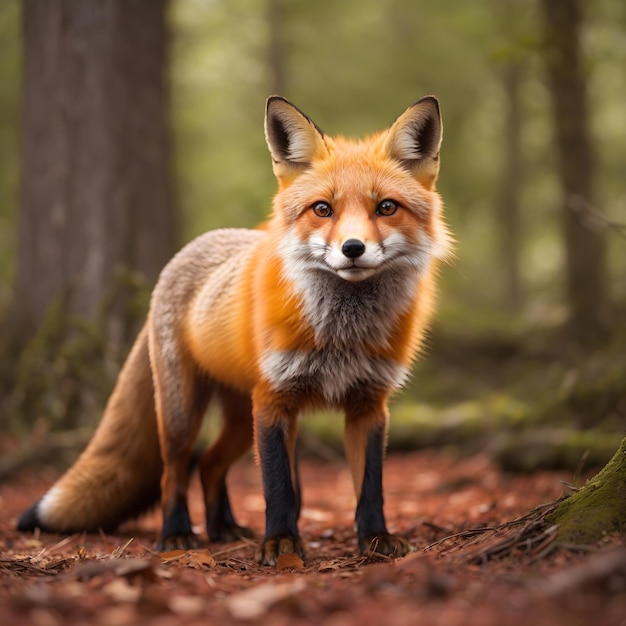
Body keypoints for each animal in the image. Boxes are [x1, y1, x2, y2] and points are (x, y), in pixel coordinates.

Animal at [18, 95, 448, 564]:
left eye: (386, 207)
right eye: (322, 209)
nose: (353, 249)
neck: (341, 334)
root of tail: (185, 253)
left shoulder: (368, 405)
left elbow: (370, 487)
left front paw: (375, 539)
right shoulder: (274, 402)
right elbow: (278, 487)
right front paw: (280, 542)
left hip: (243, 419)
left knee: (209, 464)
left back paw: (222, 527)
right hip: (185, 413)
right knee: (176, 471)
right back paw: (177, 533)